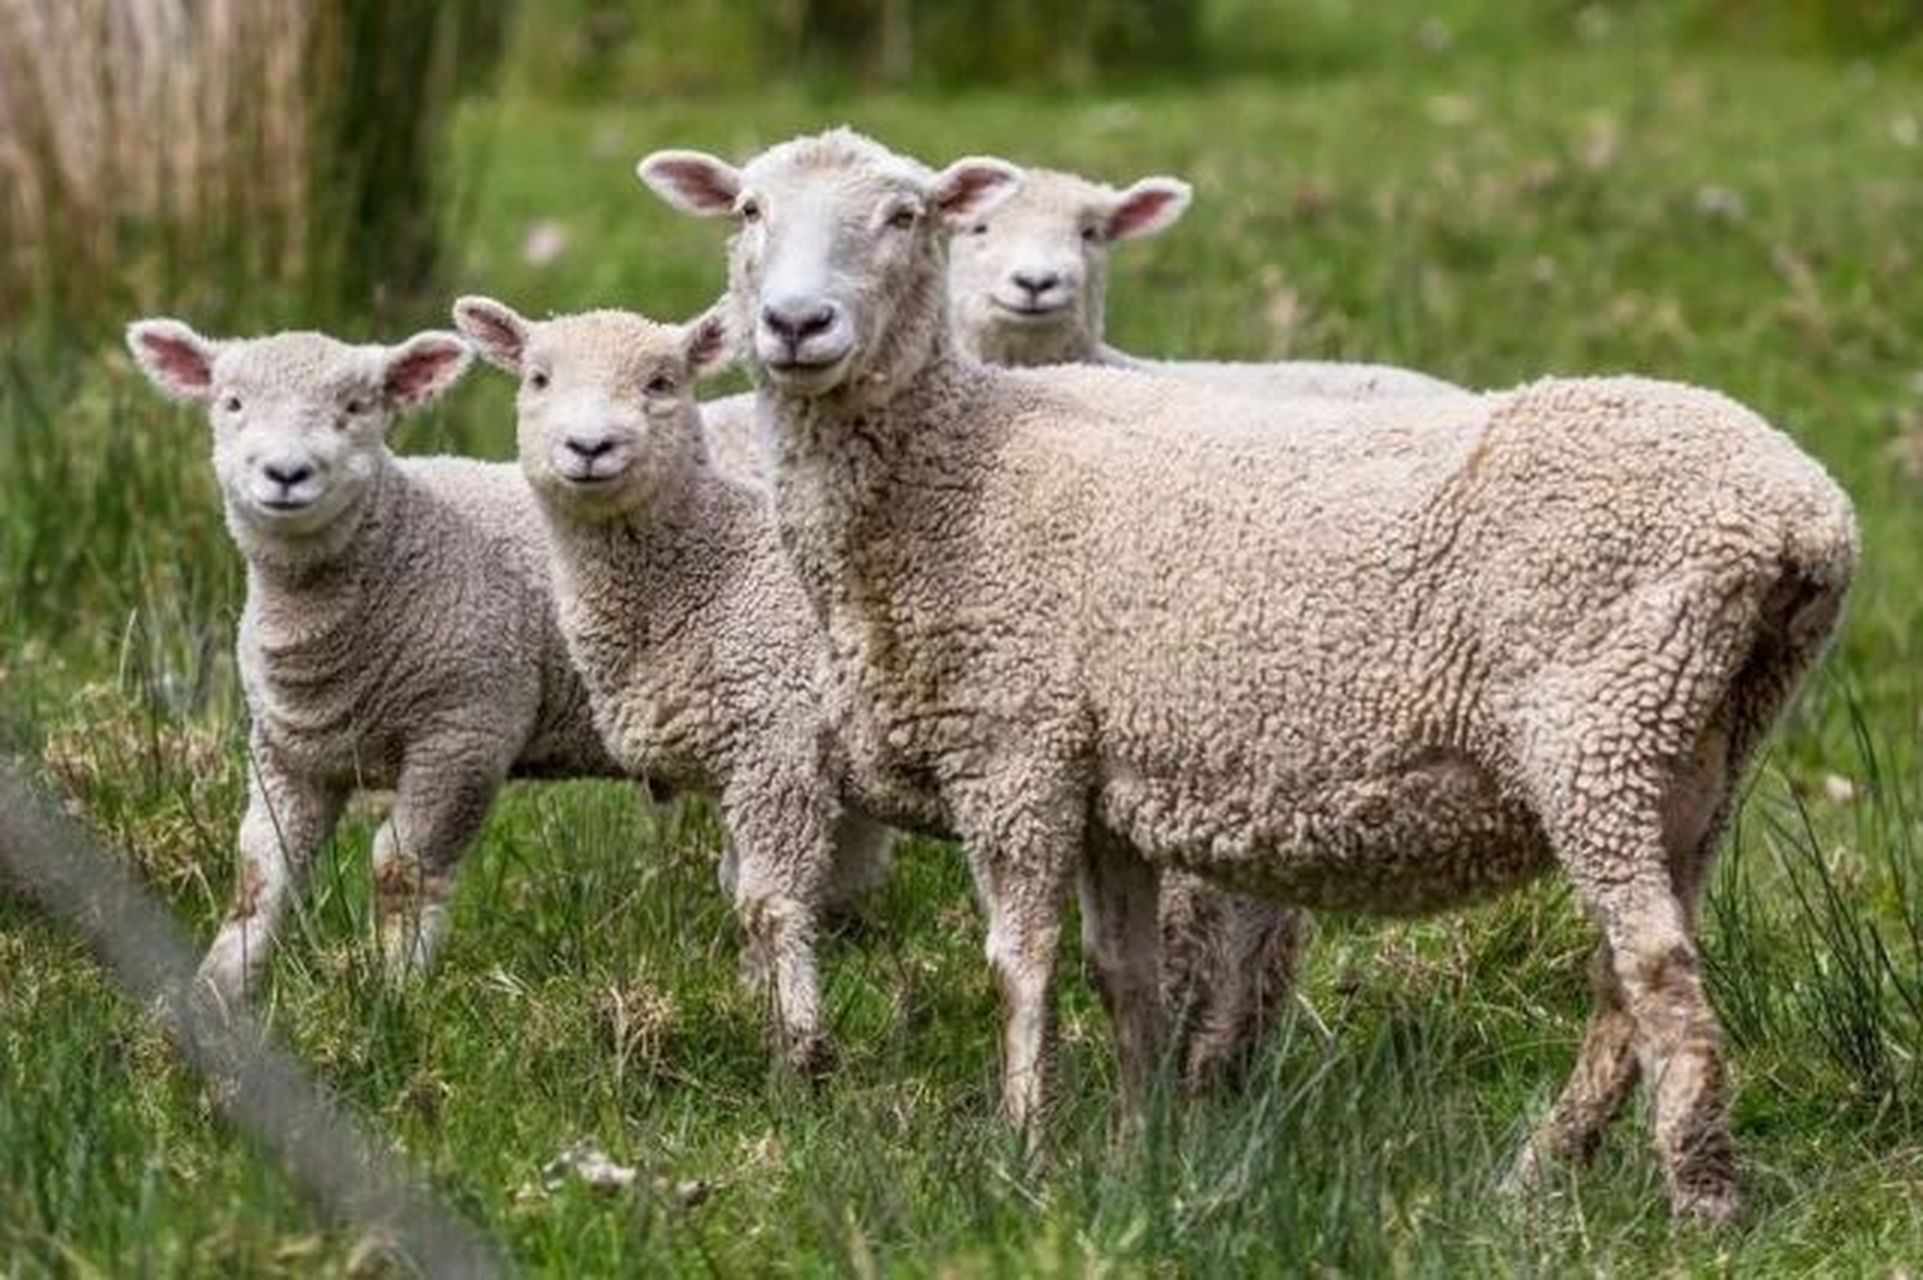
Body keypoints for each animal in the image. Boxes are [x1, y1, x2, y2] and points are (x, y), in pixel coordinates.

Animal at [125, 319, 623, 1007]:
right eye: (233, 403)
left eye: (358, 407)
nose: (286, 473)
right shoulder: (286, 750)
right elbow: (259, 873)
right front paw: (213, 994)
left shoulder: (466, 730)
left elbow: (402, 871)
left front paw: (392, 996)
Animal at [453, 295, 896, 1068]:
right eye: (538, 378)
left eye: (661, 382)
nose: (590, 447)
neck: (711, 571)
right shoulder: (737, 764)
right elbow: (737, 891)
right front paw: (758, 1000)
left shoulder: (777, 746)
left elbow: (772, 904)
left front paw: (801, 1046)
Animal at [638, 126, 1853, 1214]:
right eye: (747, 210)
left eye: (906, 217)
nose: (796, 324)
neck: (956, 460)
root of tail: (1804, 515)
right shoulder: (1099, 783)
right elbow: (1120, 973)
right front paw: (1135, 1146)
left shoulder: (1014, 749)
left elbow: (1018, 961)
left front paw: (1024, 1147)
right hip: (1702, 741)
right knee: (1626, 976)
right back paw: (1539, 1175)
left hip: (1600, 725)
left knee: (1658, 971)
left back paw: (1700, 1200)